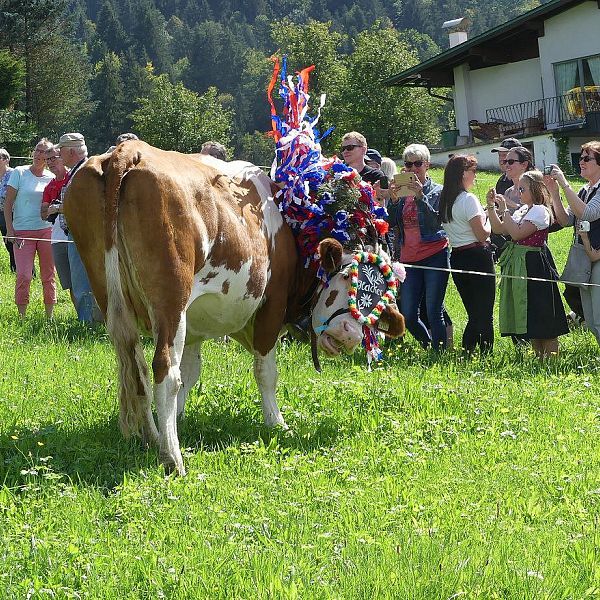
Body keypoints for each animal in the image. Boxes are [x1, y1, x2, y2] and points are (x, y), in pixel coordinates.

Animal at [64, 141, 404, 474]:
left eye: (378, 300)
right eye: (346, 277)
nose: (350, 335)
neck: (294, 227)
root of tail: (130, 151)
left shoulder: (194, 322)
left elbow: (191, 371)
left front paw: (179, 418)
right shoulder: (270, 306)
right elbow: (265, 372)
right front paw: (276, 422)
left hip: (110, 294)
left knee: (136, 366)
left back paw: (152, 436)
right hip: (170, 300)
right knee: (164, 369)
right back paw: (172, 456)